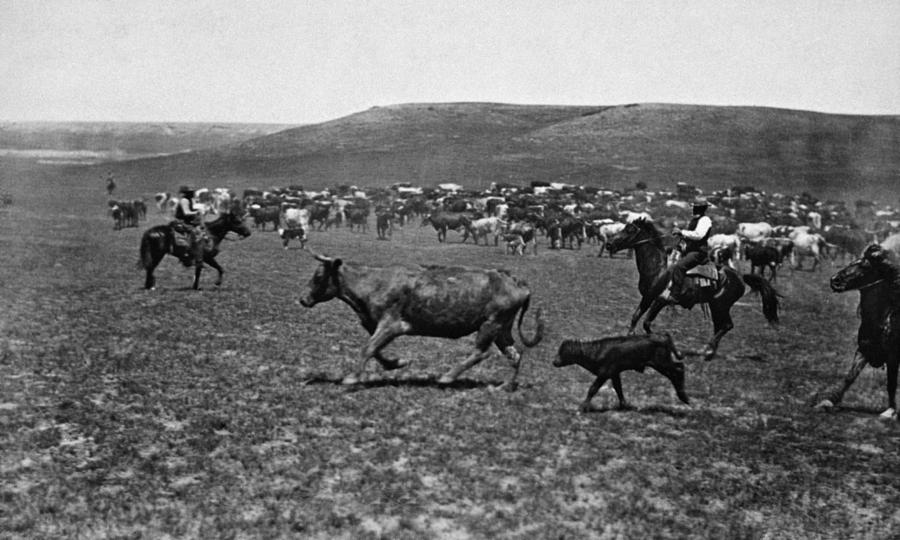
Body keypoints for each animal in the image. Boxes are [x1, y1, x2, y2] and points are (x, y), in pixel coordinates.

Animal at [300, 255, 540, 390]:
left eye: (318, 277)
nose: (303, 299)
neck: (372, 283)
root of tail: (516, 282)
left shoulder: (391, 325)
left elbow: (368, 348)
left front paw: (351, 378)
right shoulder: (376, 326)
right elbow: (376, 350)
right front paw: (397, 363)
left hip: (490, 324)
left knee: (482, 352)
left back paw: (447, 377)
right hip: (502, 328)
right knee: (515, 354)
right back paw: (505, 386)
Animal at [548, 332, 688, 412]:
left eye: (563, 352)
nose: (554, 362)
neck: (597, 351)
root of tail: (663, 336)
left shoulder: (604, 374)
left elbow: (593, 388)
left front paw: (582, 407)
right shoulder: (614, 374)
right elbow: (618, 389)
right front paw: (625, 405)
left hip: (661, 363)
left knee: (678, 369)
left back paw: (684, 397)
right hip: (662, 364)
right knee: (676, 371)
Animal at [604, 217, 780, 360]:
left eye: (630, 230)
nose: (608, 244)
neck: (658, 270)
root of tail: (740, 276)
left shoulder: (659, 300)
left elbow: (646, 322)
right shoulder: (648, 298)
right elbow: (636, 317)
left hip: (720, 305)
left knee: (726, 325)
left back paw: (708, 352)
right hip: (716, 306)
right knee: (720, 326)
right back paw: (708, 351)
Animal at [816, 243, 900, 420]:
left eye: (865, 266)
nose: (834, 280)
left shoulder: (893, 356)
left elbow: (891, 383)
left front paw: (890, 411)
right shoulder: (863, 350)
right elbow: (849, 377)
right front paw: (828, 401)